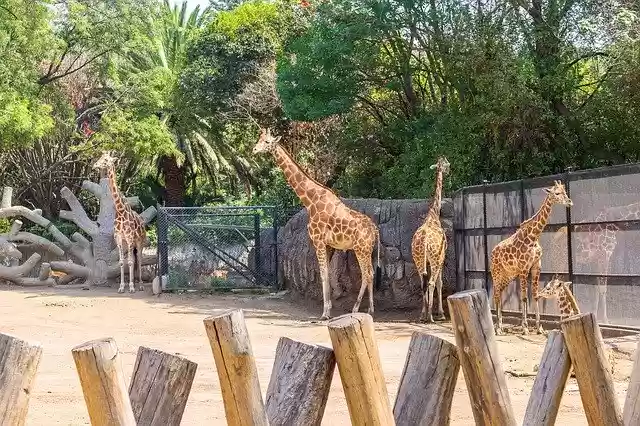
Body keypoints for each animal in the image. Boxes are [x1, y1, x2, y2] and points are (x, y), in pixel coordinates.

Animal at [92, 152, 147, 293]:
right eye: (100, 157)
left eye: (106, 160)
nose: (95, 165)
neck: (120, 210)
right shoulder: (119, 238)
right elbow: (122, 262)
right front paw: (122, 287)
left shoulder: (129, 237)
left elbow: (131, 262)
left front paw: (131, 287)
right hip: (129, 243)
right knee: (132, 260)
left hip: (139, 242)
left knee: (139, 259)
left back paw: (140, 285)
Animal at [253, 128, 380, 320]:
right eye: (259, 139)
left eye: (267, 142)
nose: (254, 149)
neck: (310, 201)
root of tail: (375, 230)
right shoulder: (328, 245)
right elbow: (325, 273)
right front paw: (328, 309)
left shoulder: (318, 240)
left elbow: (323, 274)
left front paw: (325, 313)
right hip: (368, 250)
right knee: (370, 273)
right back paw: (369, 309)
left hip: (361, 249)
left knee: (367, 274)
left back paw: (357, 309)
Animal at [490, 180, 573, 335]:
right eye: (557, 193)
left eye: (565, 192)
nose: (569, 202)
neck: (534, 237)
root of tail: (492, 251)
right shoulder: (523, 268)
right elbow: (523, 297)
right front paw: (525, 328)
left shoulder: (536, 266)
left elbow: (534, 295)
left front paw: (540, 327)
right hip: (496, 272)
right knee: (496, 294)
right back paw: (497, 328)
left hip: (508, 275)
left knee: (500, 293)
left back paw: (501, 325)